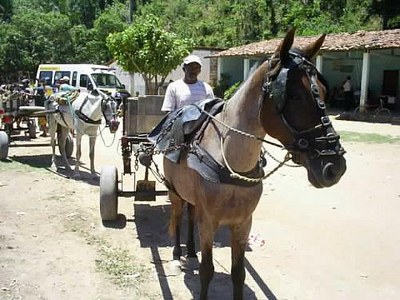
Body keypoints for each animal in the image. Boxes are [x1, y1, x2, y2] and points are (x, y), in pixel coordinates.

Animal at [161, 28, 346, 300]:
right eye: (295, 95)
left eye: (324, 93)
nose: (335, 166)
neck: (231, 162)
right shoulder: (209, 222)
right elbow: (207, 271)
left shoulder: (243, 223)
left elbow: (239, 273)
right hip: (174, 191)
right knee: (177, 214)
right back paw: (177, 256)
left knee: (190, 212)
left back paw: (191, 252)